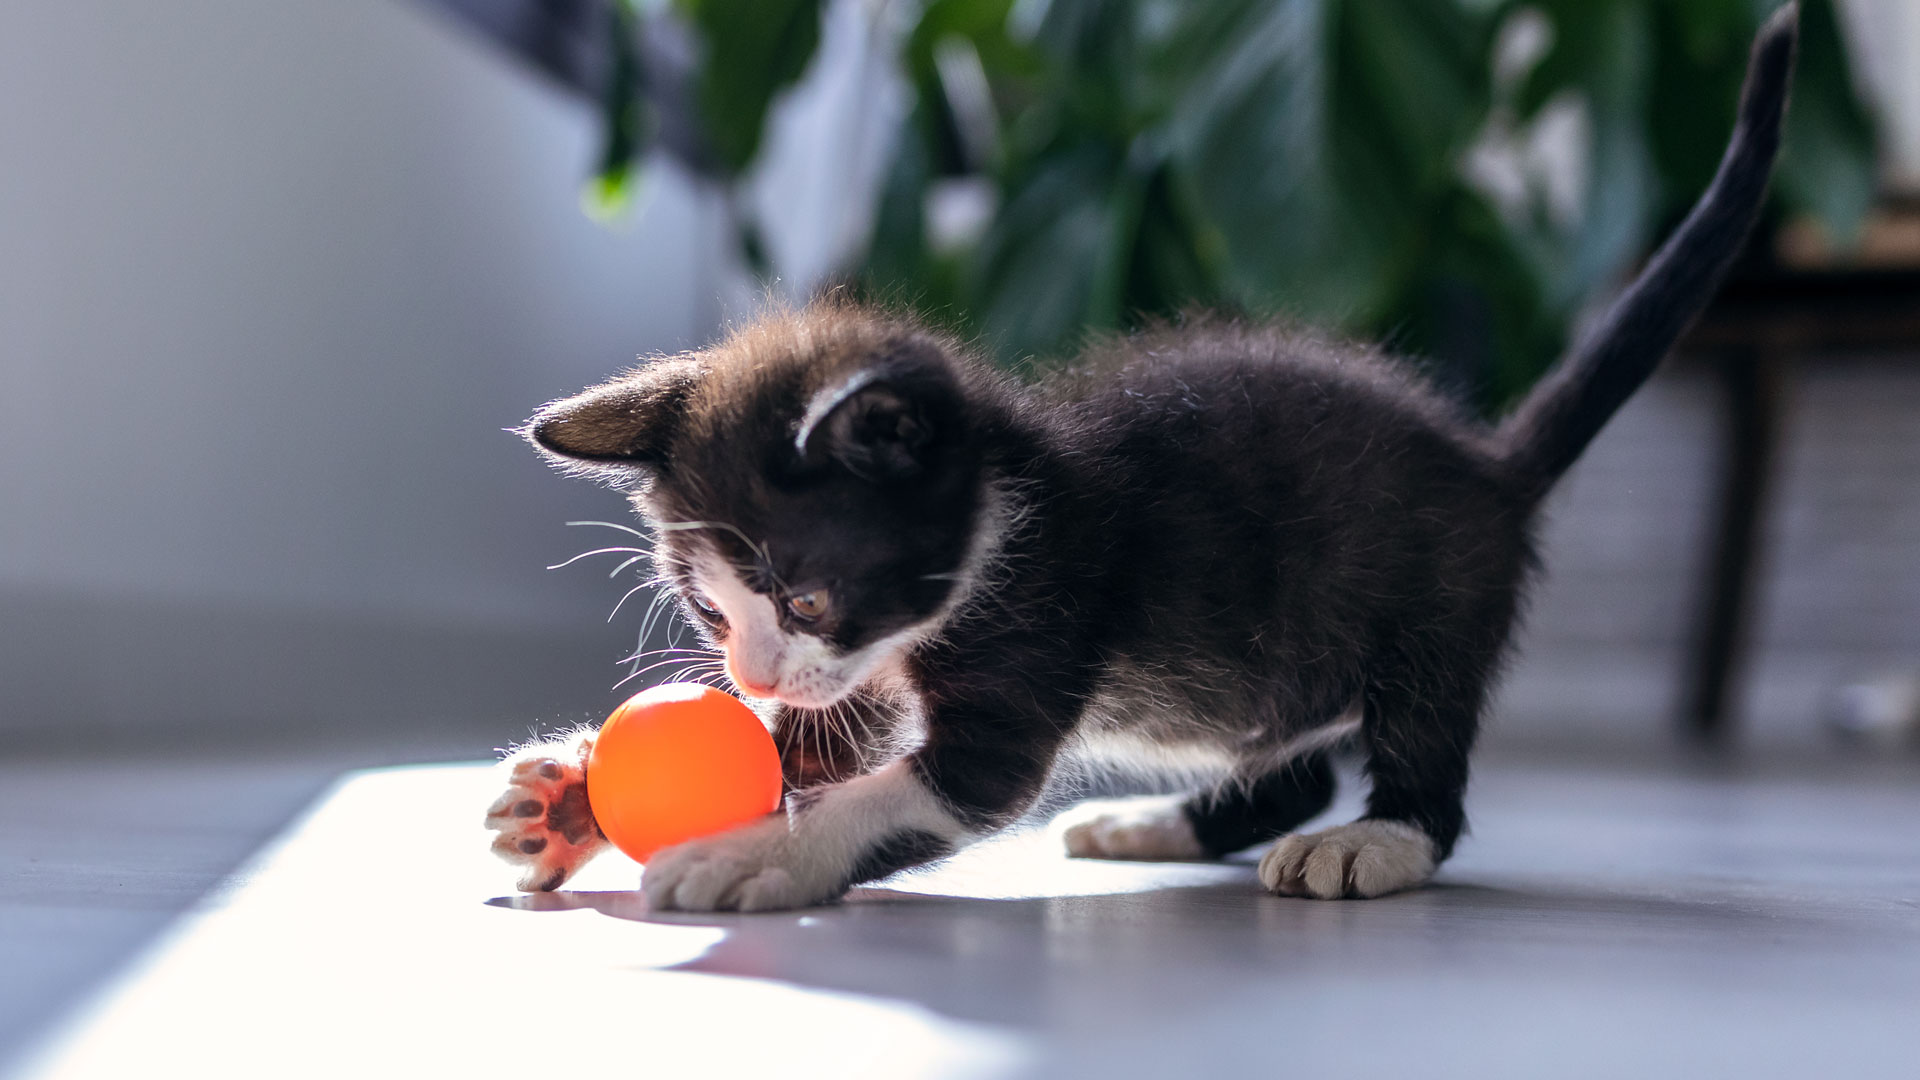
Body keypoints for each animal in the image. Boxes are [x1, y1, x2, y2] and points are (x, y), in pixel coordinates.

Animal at [483, 12, 1797, 907]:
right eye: (712, 614)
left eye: (804, 595)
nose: (744, 675)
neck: (1005, 509)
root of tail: (1489, 461)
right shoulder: (863, 669)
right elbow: (820, 737)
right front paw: (569, 802)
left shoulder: (1033, 625)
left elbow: (918, 785)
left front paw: (761, 852)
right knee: (1291, 761)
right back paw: (1158, 824)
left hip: (1435, 600)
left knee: (1423, 745)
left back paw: (1374, 840)